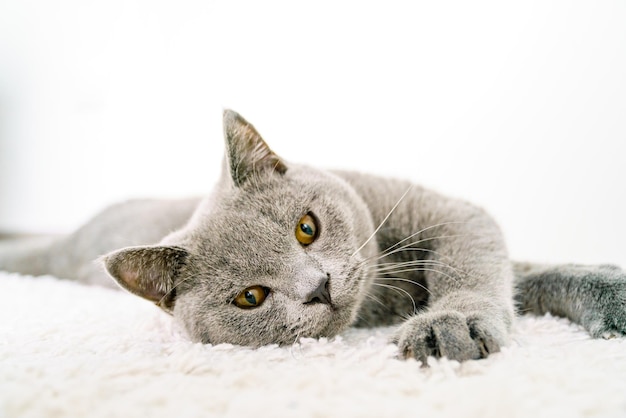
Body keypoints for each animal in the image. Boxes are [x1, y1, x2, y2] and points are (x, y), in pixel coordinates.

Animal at [1, 111, 624, 362]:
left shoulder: (447, 215)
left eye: (307, 228)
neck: (384, 296)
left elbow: (485, 266)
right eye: (250, 297)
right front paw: (450, 327)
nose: (318, 285)